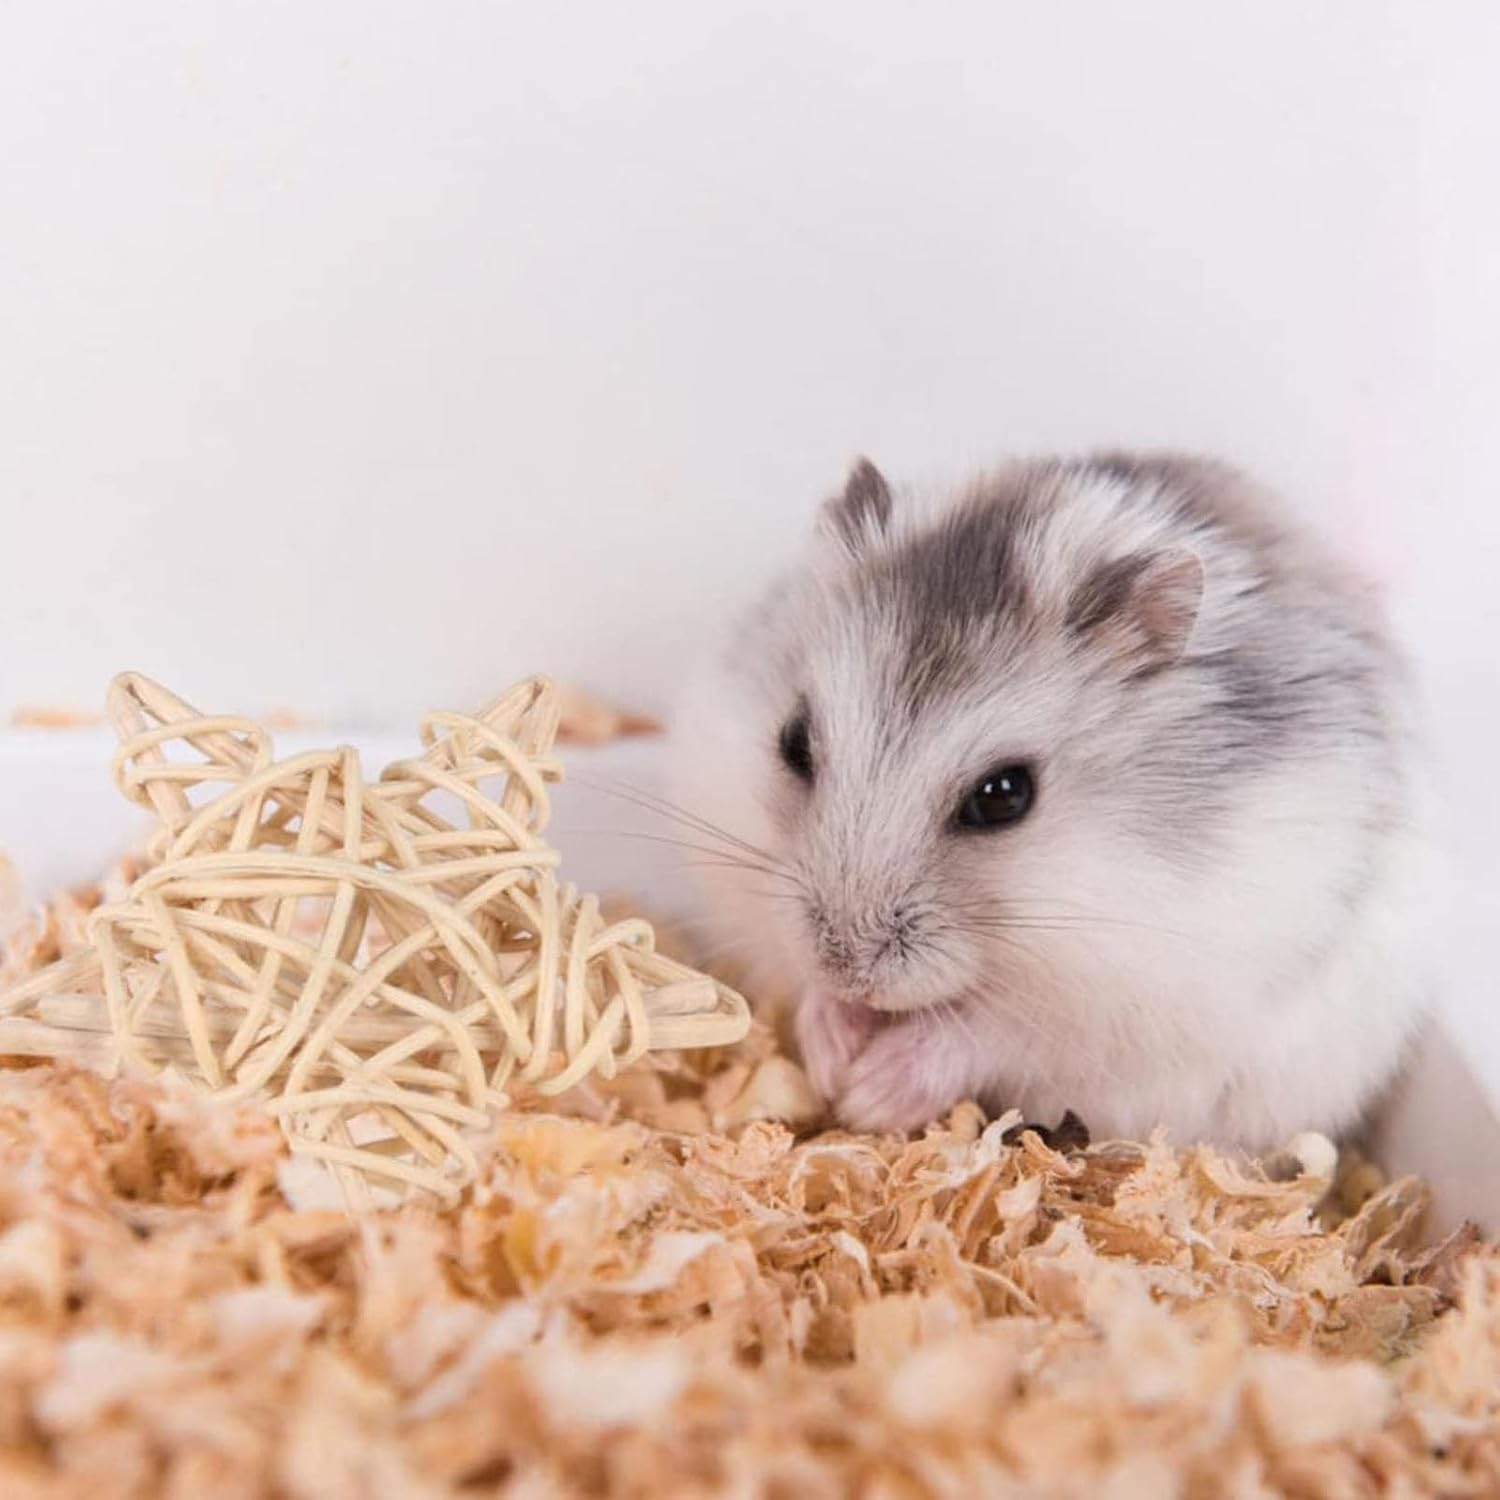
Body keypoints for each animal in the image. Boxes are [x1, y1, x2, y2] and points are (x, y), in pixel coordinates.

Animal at [670, 452, 1436, 1151]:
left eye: (1005, 796)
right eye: (794, 741)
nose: (846, 967)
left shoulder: (1134, 998)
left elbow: (991, 1030)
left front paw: (869, 1094)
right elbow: (799, 983)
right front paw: (832, 1054)